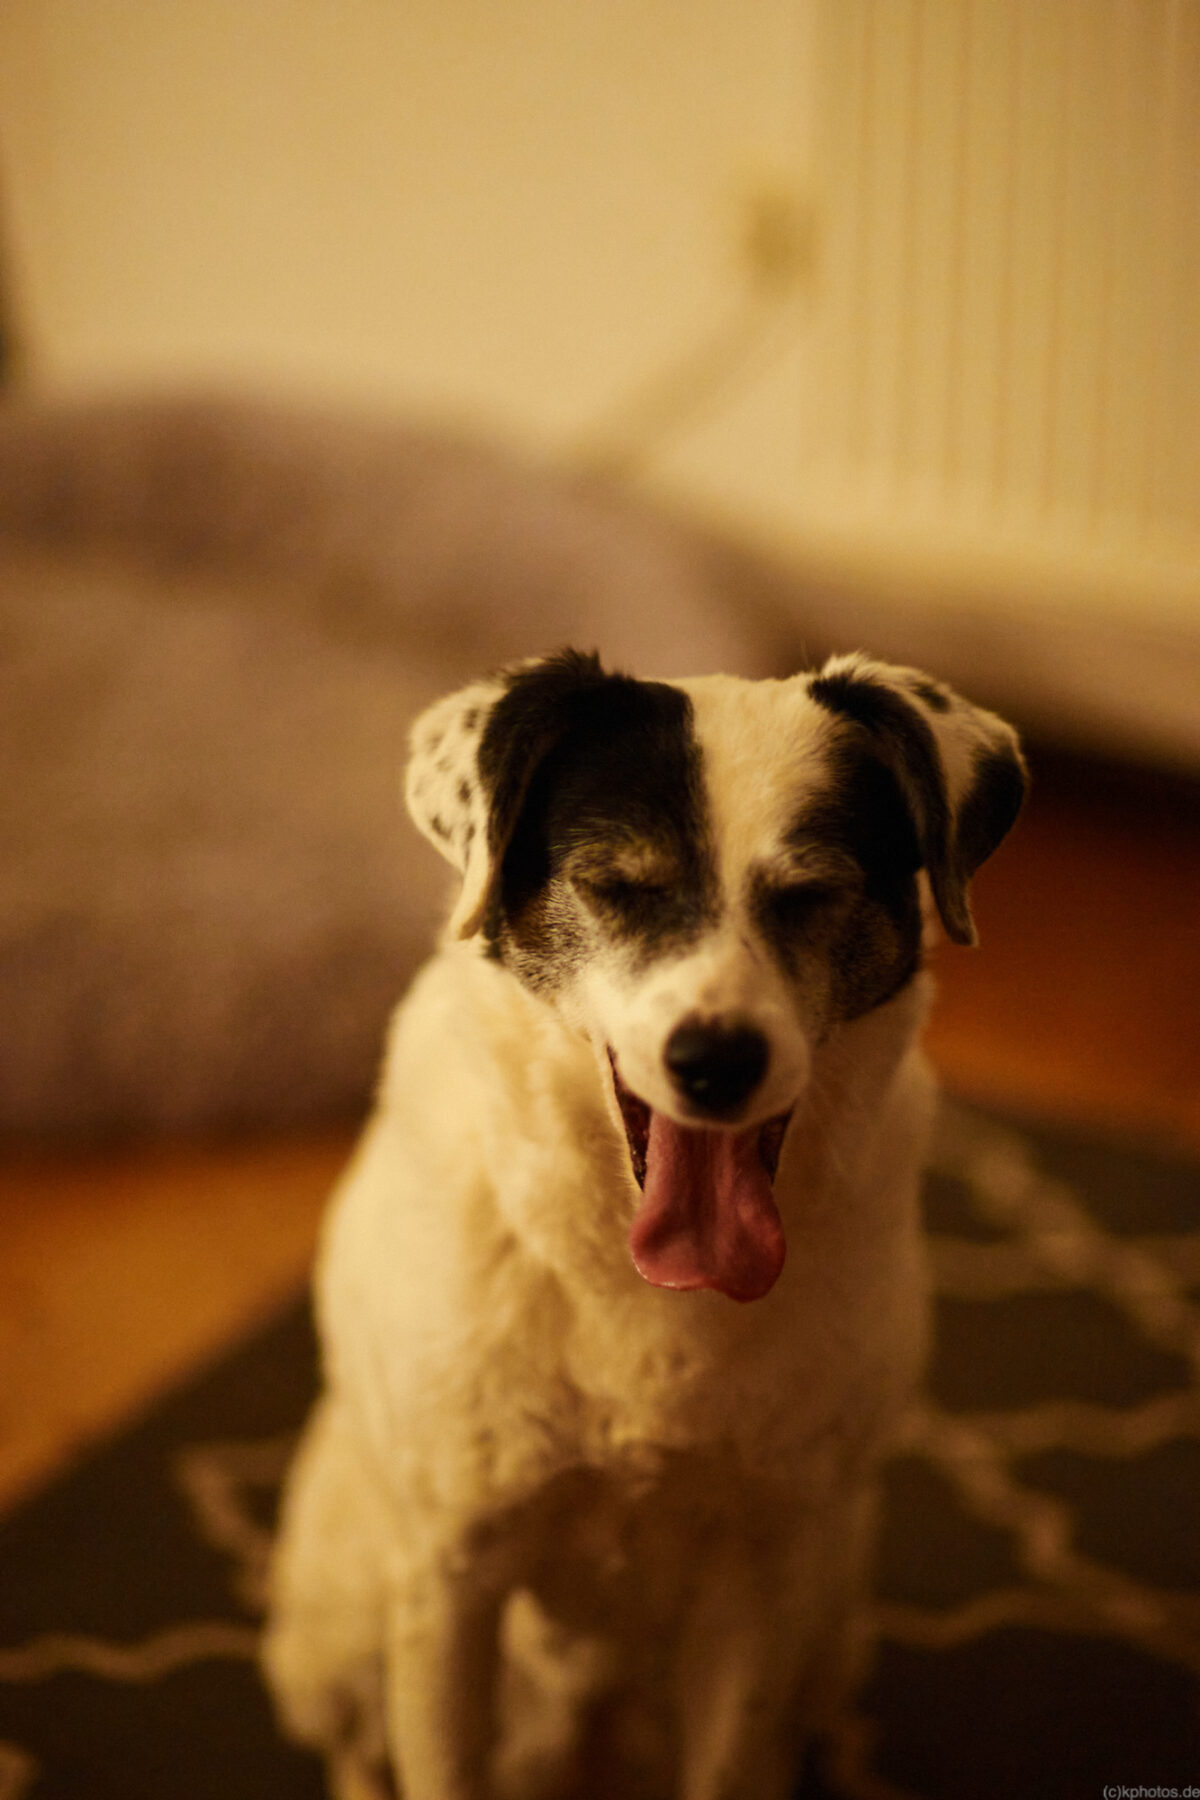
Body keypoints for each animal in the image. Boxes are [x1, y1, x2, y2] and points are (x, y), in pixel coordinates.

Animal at [260, 651, 1021, 1800]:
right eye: (614, 887)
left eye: (814, 894)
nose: (717, 1062)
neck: (639, 1277)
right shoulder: (452, 1575)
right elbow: (436, 1760)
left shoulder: (763, 1577)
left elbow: (735, 1755)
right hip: (339, 1623)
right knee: (357, 1746)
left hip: (834, 1616)